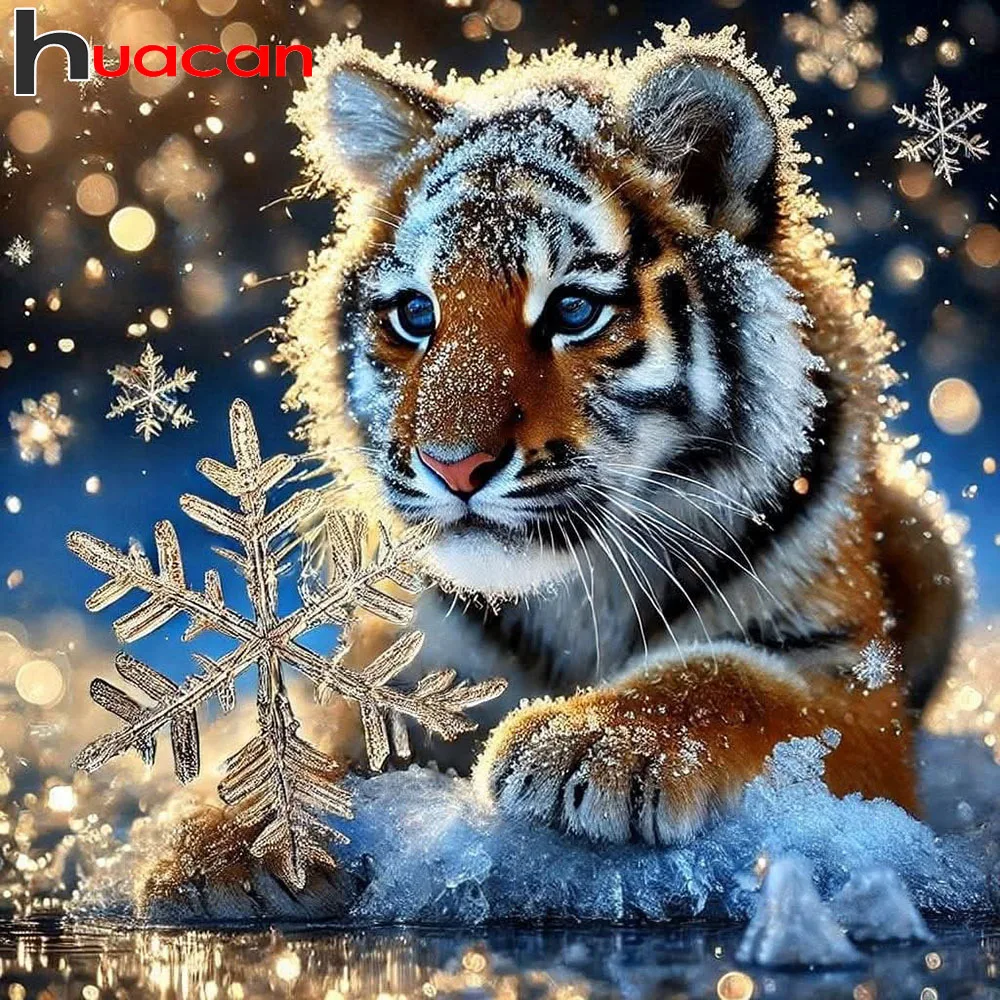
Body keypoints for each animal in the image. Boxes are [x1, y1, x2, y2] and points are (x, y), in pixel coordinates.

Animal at [274, 23, 968, 855]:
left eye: (573, 311)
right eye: (416, 314)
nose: (454, 466)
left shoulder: (850, 678)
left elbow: (728, 676)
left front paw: (587, 743)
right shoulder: (397, 659)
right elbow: (312, 743)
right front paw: (219, 840)